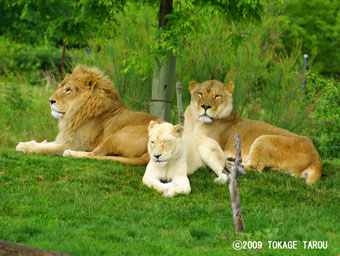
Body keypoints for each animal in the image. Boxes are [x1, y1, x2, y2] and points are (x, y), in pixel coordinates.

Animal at [16, 63, 163, 164]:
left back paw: (70, 154)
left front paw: (26, 147)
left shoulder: (77, 144)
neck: (75, 113)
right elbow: (49, 143)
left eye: (68, 90)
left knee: (94, 155)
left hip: (118, 135)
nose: (50, 101)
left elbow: (46, 149)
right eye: (60, 87)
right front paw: (30, 142)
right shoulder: (67, 138)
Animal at [185, 80, 322, 184]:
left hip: (264, 139)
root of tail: (317, 160)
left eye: (217, 96)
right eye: (200, 94)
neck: (195, 121)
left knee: (254, 168)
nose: (205, 106)